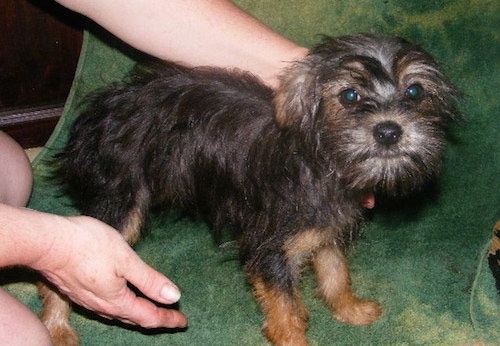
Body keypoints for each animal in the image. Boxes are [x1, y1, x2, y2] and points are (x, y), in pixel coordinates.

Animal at [40, 33, 460, 346]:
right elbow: (285, 309)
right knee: (69, 263)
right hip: (120, 203)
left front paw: (349, 309)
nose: (389, 131)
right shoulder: (269, 246)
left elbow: (335, 272)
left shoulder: (325, 229)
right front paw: (295, 336)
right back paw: (57, 328)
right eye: (350, 96)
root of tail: (100, 109)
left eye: (415, 92)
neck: (320, 157)